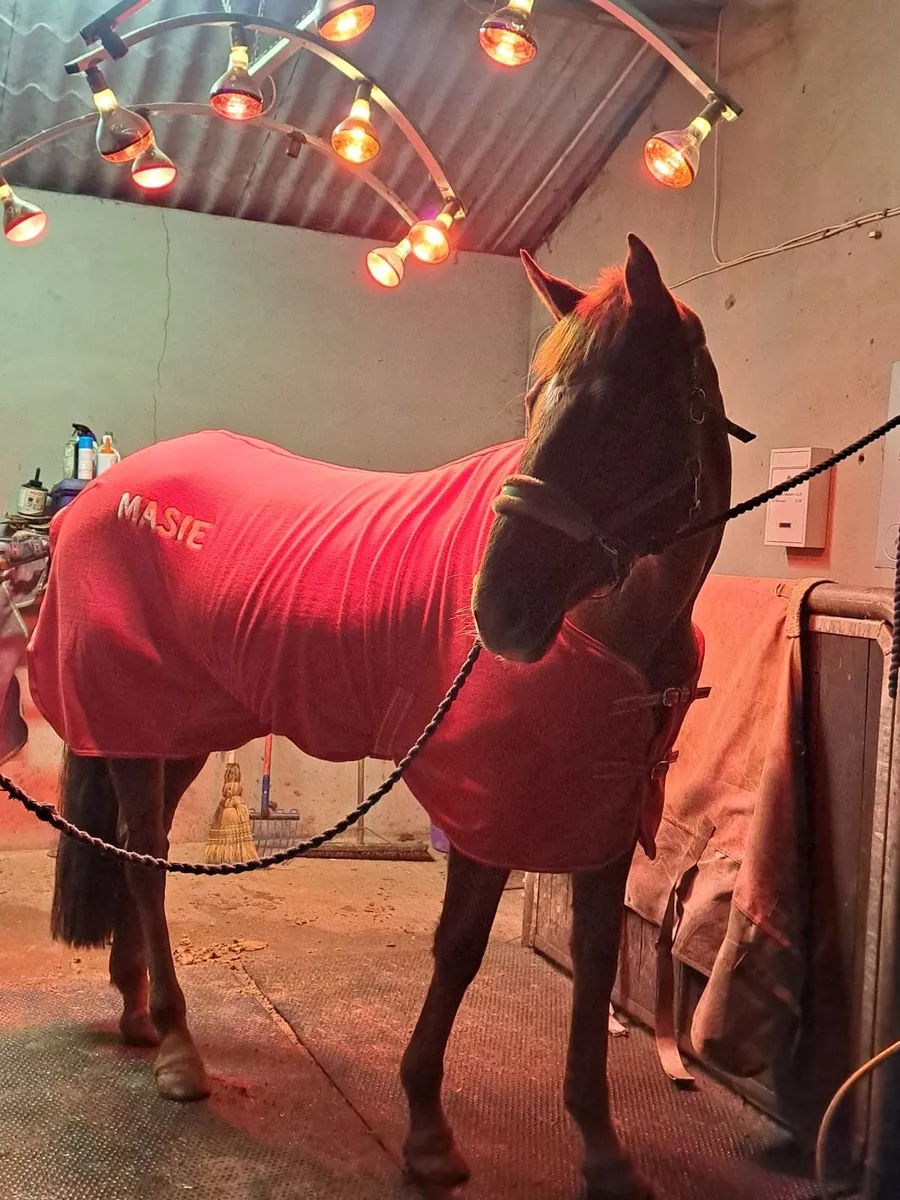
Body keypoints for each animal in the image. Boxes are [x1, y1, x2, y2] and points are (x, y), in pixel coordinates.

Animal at [33, 234, 736, 1200]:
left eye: (623, 412)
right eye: (536, 403)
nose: (497, 611)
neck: (619, 640)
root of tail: (100, 500)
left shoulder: (599, 822)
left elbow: (595, 965)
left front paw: (603, 1151)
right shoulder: (487, 810)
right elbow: (460, 950)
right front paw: (428, 1133)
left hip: (169, 730)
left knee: (144, 855)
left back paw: (140, 1015)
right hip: (138, 722)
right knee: (144, 869)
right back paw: (178, 1048)